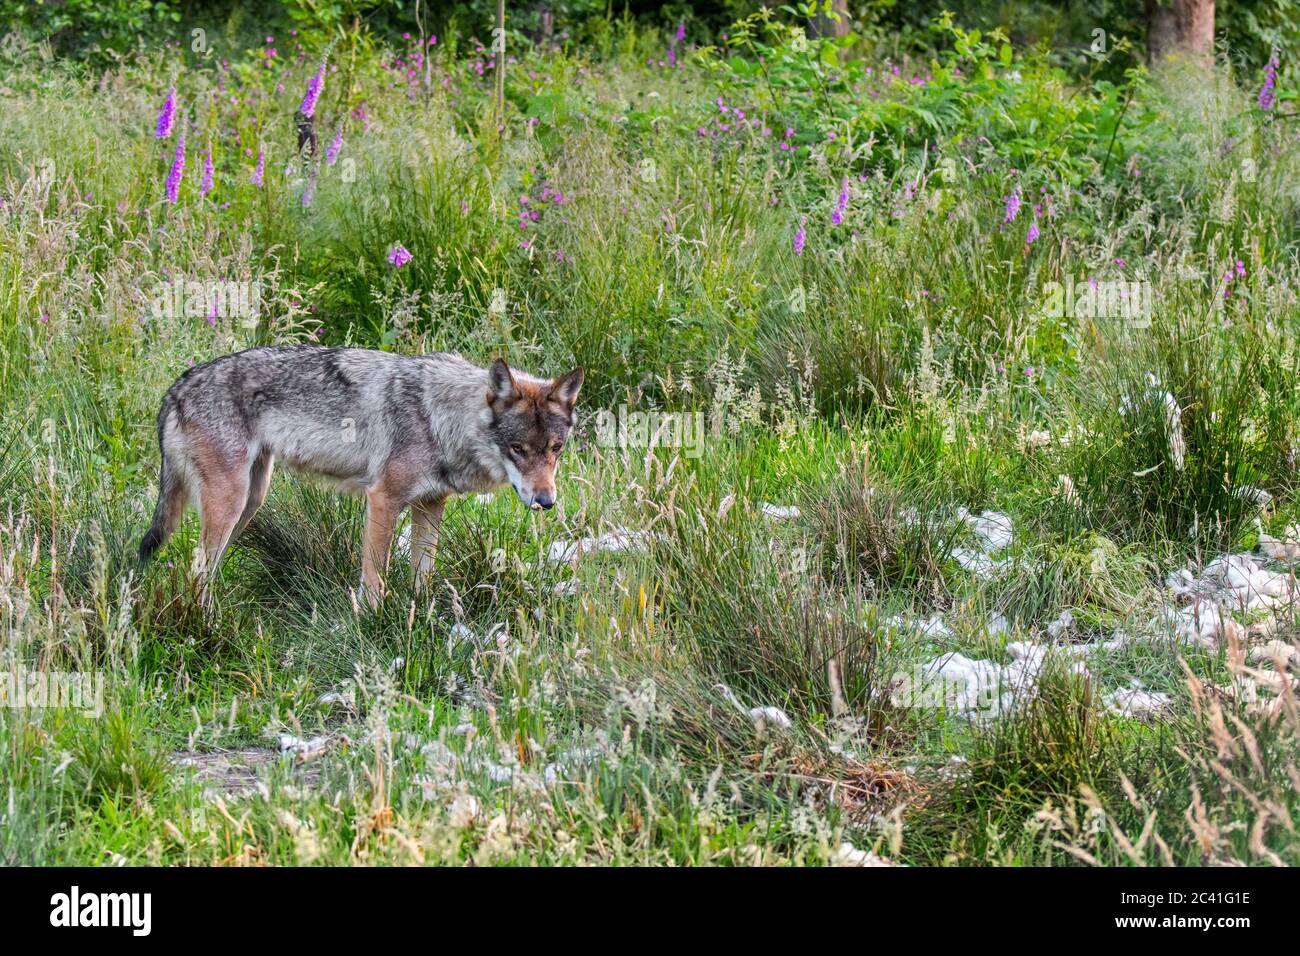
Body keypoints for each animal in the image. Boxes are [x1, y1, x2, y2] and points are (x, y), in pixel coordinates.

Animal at [135, 348, 579, 606]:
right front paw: (371, 622)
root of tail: (176, 388)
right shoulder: (383, 499)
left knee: (205, 568)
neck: (439, 418)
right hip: (231, 503)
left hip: (250, 502)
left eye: (555, 449)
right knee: (197, 570)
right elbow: (375, 579)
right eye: (518, 449)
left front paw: (420, 617)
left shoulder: (430, 505)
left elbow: (422, 575)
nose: (546, 502)